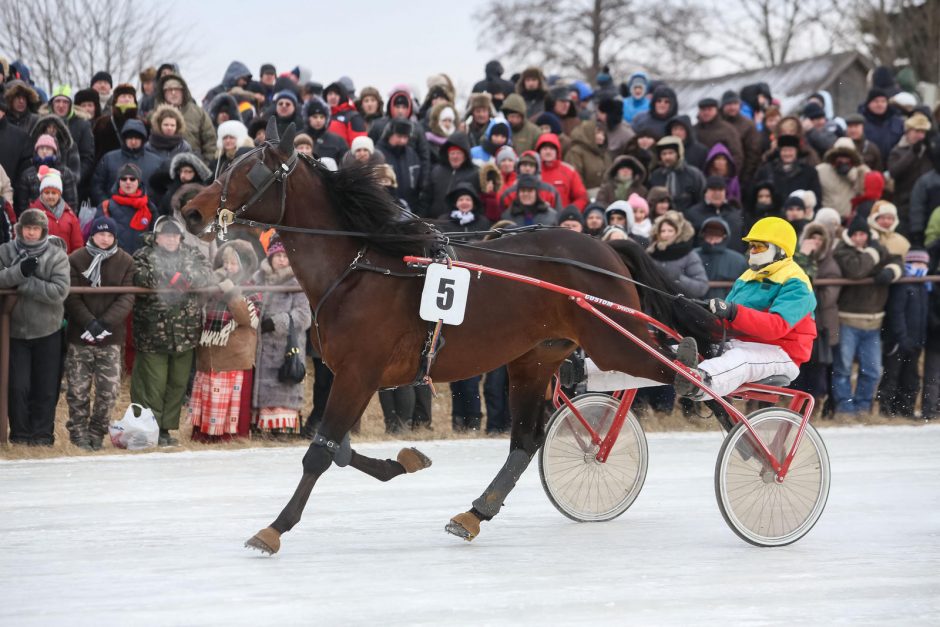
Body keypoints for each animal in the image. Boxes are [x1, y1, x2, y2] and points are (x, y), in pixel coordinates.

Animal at [180, 120, 716, 556]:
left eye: (248, 172)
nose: (188, 210)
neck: (358, 268)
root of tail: (607, 247)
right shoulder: (351, 377)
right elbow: (338, 448)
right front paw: (406, 460)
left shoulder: (358, 374)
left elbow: (320, 453)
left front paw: (274, 528)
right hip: (535, 358)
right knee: (526, 440)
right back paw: (475, 513)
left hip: (611, 339)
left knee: (679, 368)